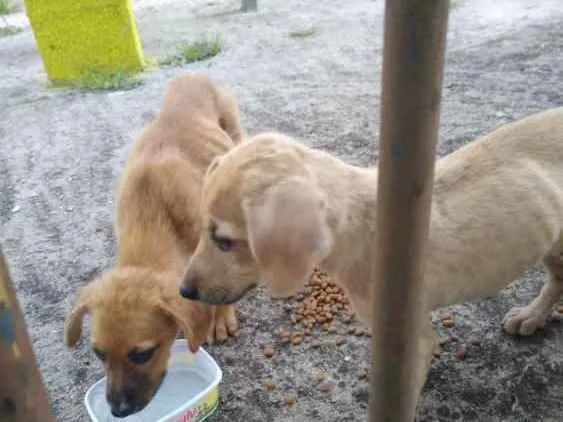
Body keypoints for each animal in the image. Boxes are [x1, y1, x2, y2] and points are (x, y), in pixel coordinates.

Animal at [65, 74, 242, 418]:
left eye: (142, 354)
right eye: (98, 353)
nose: (118, 411)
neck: (152, 214)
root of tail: (192, 76)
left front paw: (221, 318)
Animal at [180, 108, 563, 418]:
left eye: (225, 241)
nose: (184, 291)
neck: (358, 221)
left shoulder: (412, 340)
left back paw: (532, 314)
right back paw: (533, 315)